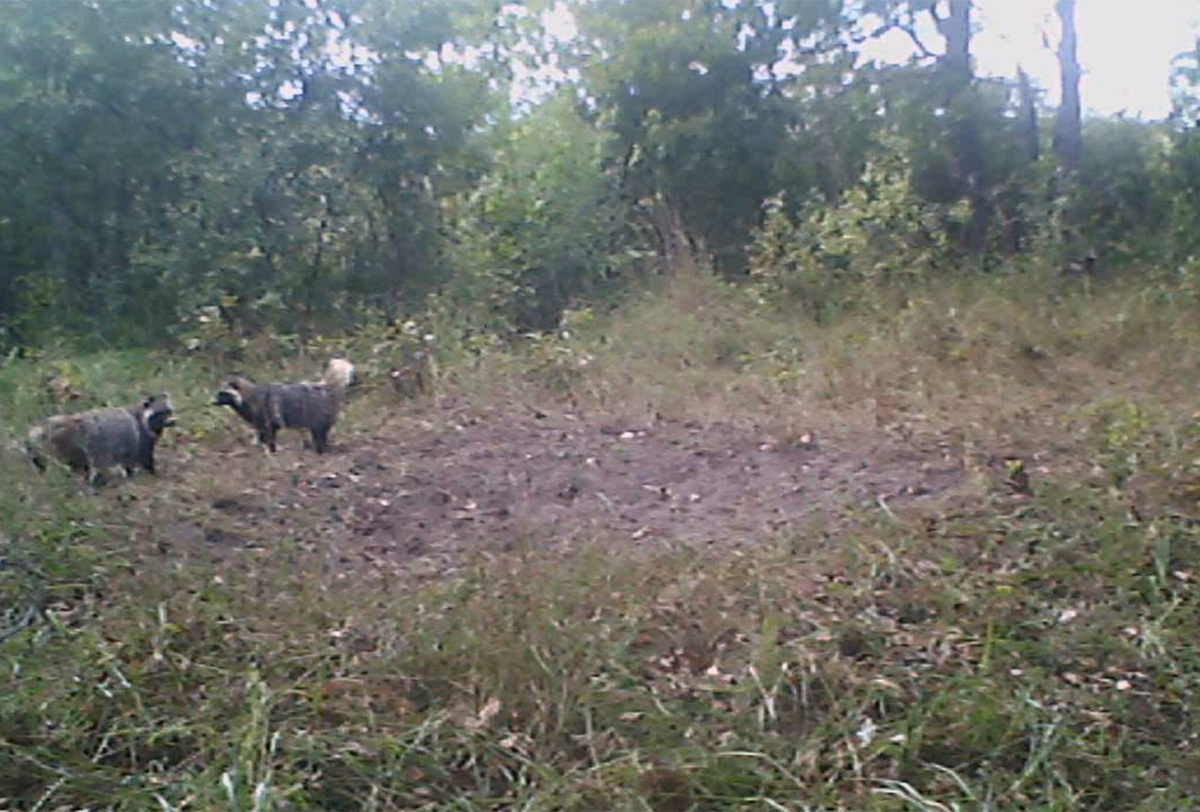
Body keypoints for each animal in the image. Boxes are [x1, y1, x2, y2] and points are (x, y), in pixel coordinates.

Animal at [27, 393, 176, 484]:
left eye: (169, 411)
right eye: (160, 413)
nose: (173, 421)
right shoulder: (141, 438)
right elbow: (145, 458)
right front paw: (152, 474)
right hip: (74, 445)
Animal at [214, 357, 355, 453]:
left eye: (223, 394)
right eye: (219, 393)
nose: (213, 402)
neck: (246, 394)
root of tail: (326, 389)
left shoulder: (265, 413)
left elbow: (268, 432)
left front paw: (270, 448)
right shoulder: (261, 418)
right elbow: (264, 431)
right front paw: (263, 445)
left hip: (317, 413)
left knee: (319, 432)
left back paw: (320, 449)